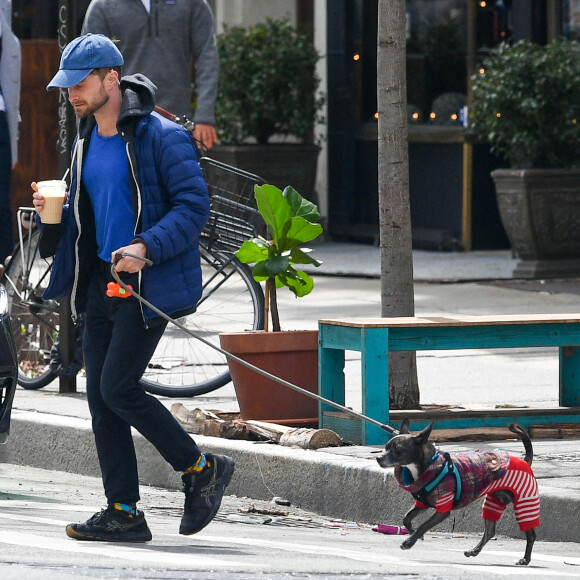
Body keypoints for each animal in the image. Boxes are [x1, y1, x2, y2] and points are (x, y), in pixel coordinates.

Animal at [376, 420, 540, 564]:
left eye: (397, 448)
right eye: (386, 447)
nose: (378, 457)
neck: (430, 466)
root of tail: (525, 461)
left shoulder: (442, 510)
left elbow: (424, 525)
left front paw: (410, 541)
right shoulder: (422, 503)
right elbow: (406, 518)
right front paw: (413, 533)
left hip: (525, 503)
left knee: (531, 535)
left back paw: (525, 559)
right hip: (494, 502)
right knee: (490, 531)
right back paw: (474, 550)